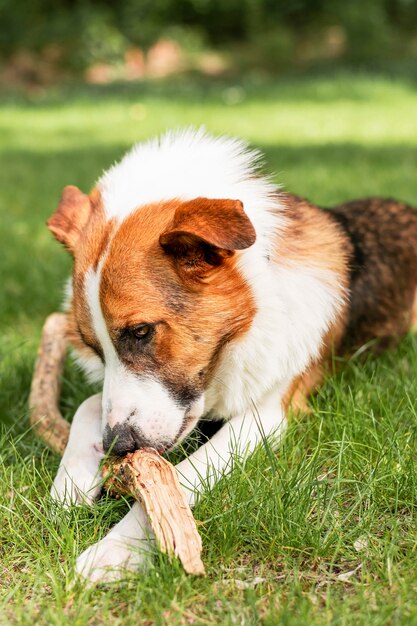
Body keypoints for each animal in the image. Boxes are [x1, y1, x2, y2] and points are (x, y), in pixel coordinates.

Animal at [47, 129, 416, 584]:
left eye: (141, 331)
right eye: (93, 345)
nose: (119, 446)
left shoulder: (269, 413)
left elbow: (183, 473)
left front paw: (118, 548)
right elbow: (88, 405)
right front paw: (71, 483)